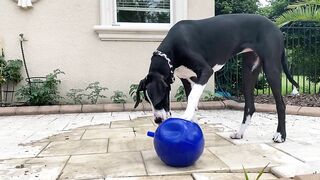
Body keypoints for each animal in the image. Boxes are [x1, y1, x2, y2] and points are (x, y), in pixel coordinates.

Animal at [134, 14, 298, 143]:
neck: (171, 52)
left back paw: (280, 135)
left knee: (281, 104)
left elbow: (192, 97)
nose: (157, 120)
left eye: (159, 98)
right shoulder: (187, 79)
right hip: (248, 72)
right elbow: (190, 99)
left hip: (271, 69)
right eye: (148, 100)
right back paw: (240, 133)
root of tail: (276, 27)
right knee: (250, 106)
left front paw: (185, 118)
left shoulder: (206, 71)